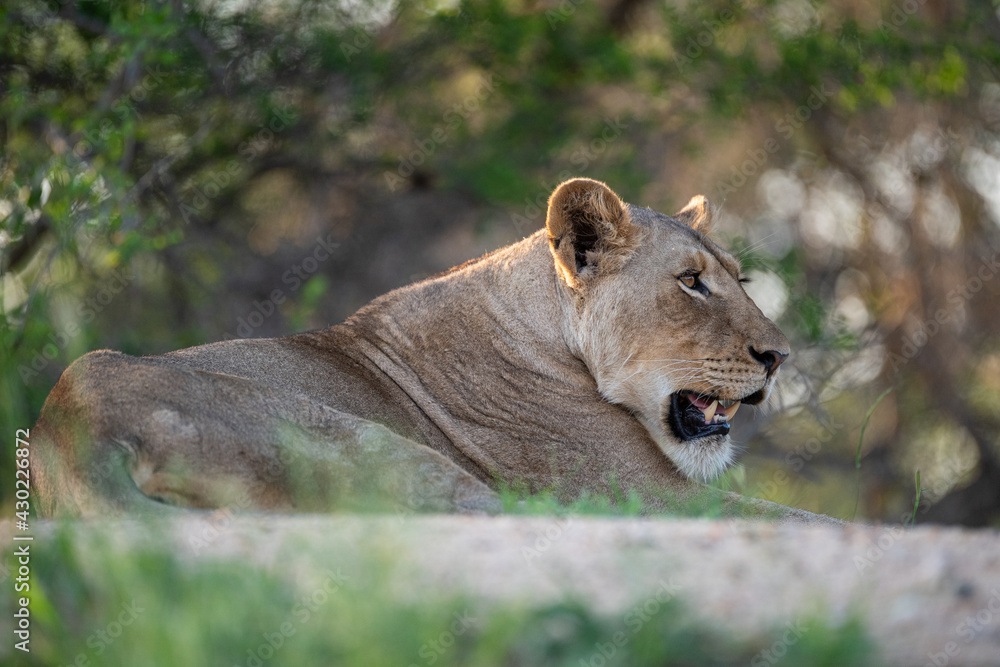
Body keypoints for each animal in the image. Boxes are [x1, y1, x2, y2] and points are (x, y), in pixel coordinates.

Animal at [30, 178, 839, 523]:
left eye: (738, 278)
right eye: (690, 283)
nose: (779, 356)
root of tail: (72, 424)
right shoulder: (639, 490)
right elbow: (804, 518)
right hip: (379, 447)